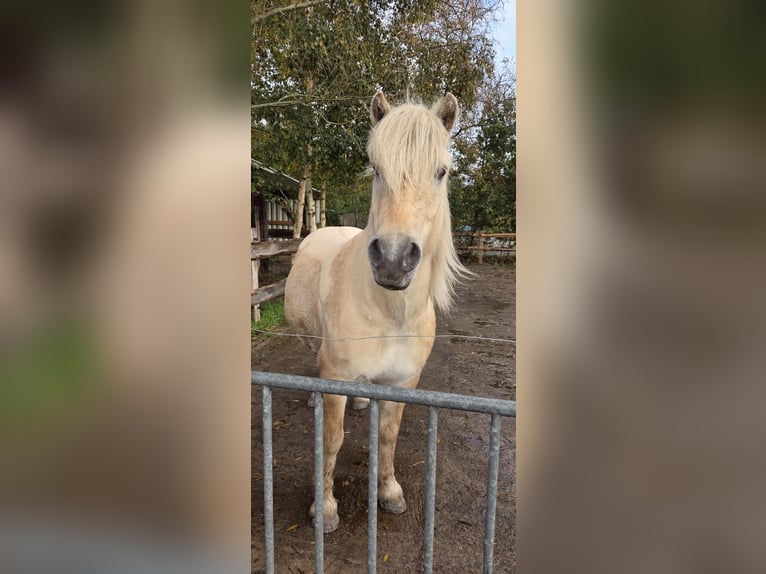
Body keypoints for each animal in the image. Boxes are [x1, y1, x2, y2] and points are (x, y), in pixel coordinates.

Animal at [284, 91, 465, 533]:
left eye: (441, 172)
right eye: (377, 170)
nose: (393, 260)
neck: (389, 317)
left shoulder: (403, 382)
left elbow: (388, 436)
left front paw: (389, 492)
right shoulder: (335, 377)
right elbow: (332, 440)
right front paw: (324, 509)